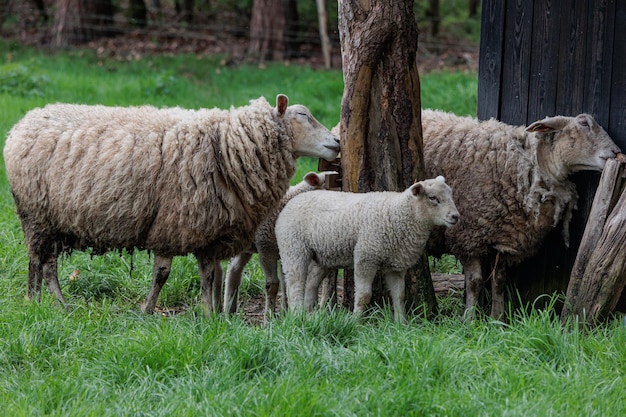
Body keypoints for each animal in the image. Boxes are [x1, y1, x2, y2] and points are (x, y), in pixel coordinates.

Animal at [222, 171, 334, 316]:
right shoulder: (266, 249)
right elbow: (273, 285)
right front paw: (269, 317)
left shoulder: (285, 251)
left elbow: (286, 283)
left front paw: (285, 314)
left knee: (234, 270)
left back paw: (229, 312)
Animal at [276, 175, 456, 322]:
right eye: (433, 198)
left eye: (451, 195)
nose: (456, 216)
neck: (399, 213)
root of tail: (294, 200)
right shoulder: (365, 257)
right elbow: (364, 295)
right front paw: (355, 321)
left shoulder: (396, 266)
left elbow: (399, 295)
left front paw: (401, 324)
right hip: (293, 248)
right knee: (295, 284)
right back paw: (297, 315)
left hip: (322, 256)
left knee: (311, 284)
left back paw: (307, 315)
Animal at [420, 109, 620, 318]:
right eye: (583, 124)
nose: (616, 152)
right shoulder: (467, 236)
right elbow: (475, 283)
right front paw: (469, 319)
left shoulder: (504, 239)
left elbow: (499, 281)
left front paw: (497, 318)